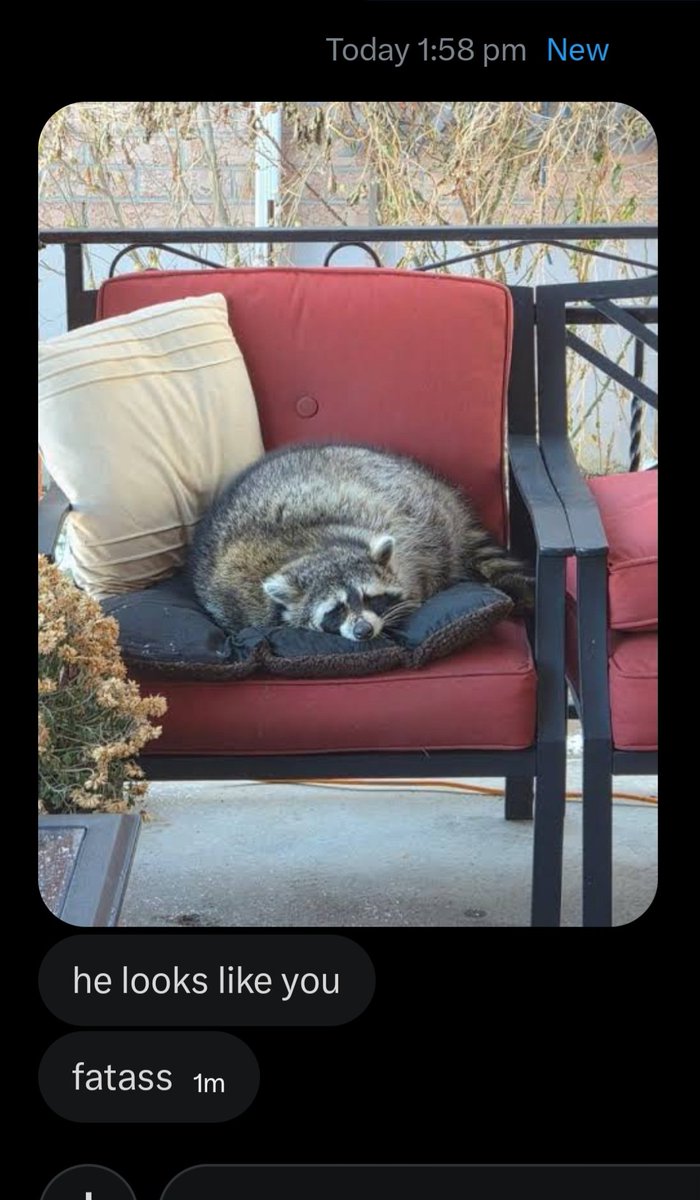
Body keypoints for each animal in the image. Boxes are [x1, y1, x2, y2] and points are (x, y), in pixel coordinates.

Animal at [190, 443, 533, 641]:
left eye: (370, 597)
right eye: (335, 610)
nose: (363, 630)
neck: (314, 549)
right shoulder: (238, 603)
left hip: (424, 511)